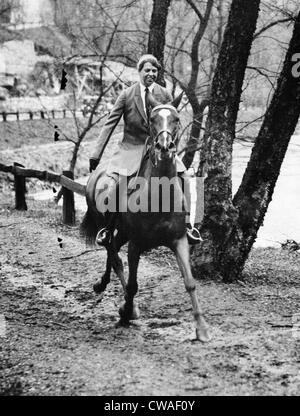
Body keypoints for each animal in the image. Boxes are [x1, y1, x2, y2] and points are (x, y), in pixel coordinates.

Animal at [81, 102, 210, 340]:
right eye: (152, 119)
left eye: (176, 119)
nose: (164, 146)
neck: (160, 196)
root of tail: (97, 173)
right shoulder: (136, 245)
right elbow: (133, 285)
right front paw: (125, 313)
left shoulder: (179, 240)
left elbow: (190, 282)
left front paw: (202, 329)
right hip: (109, 226)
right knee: (114, 255)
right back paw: (126, 305)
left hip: (122, 232)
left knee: (113, 249)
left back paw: (102, 284)